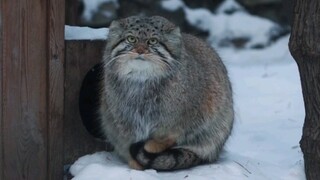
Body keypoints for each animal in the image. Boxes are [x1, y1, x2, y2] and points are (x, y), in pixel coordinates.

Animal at [99, 15, 234, 170]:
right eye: (131, 39)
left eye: (153, 41)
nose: (140, 51)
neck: (141, 80)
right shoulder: (124, 119)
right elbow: (129, 140)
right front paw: (134, 161)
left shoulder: (187, 115)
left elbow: (170, 135)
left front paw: (154, 145)